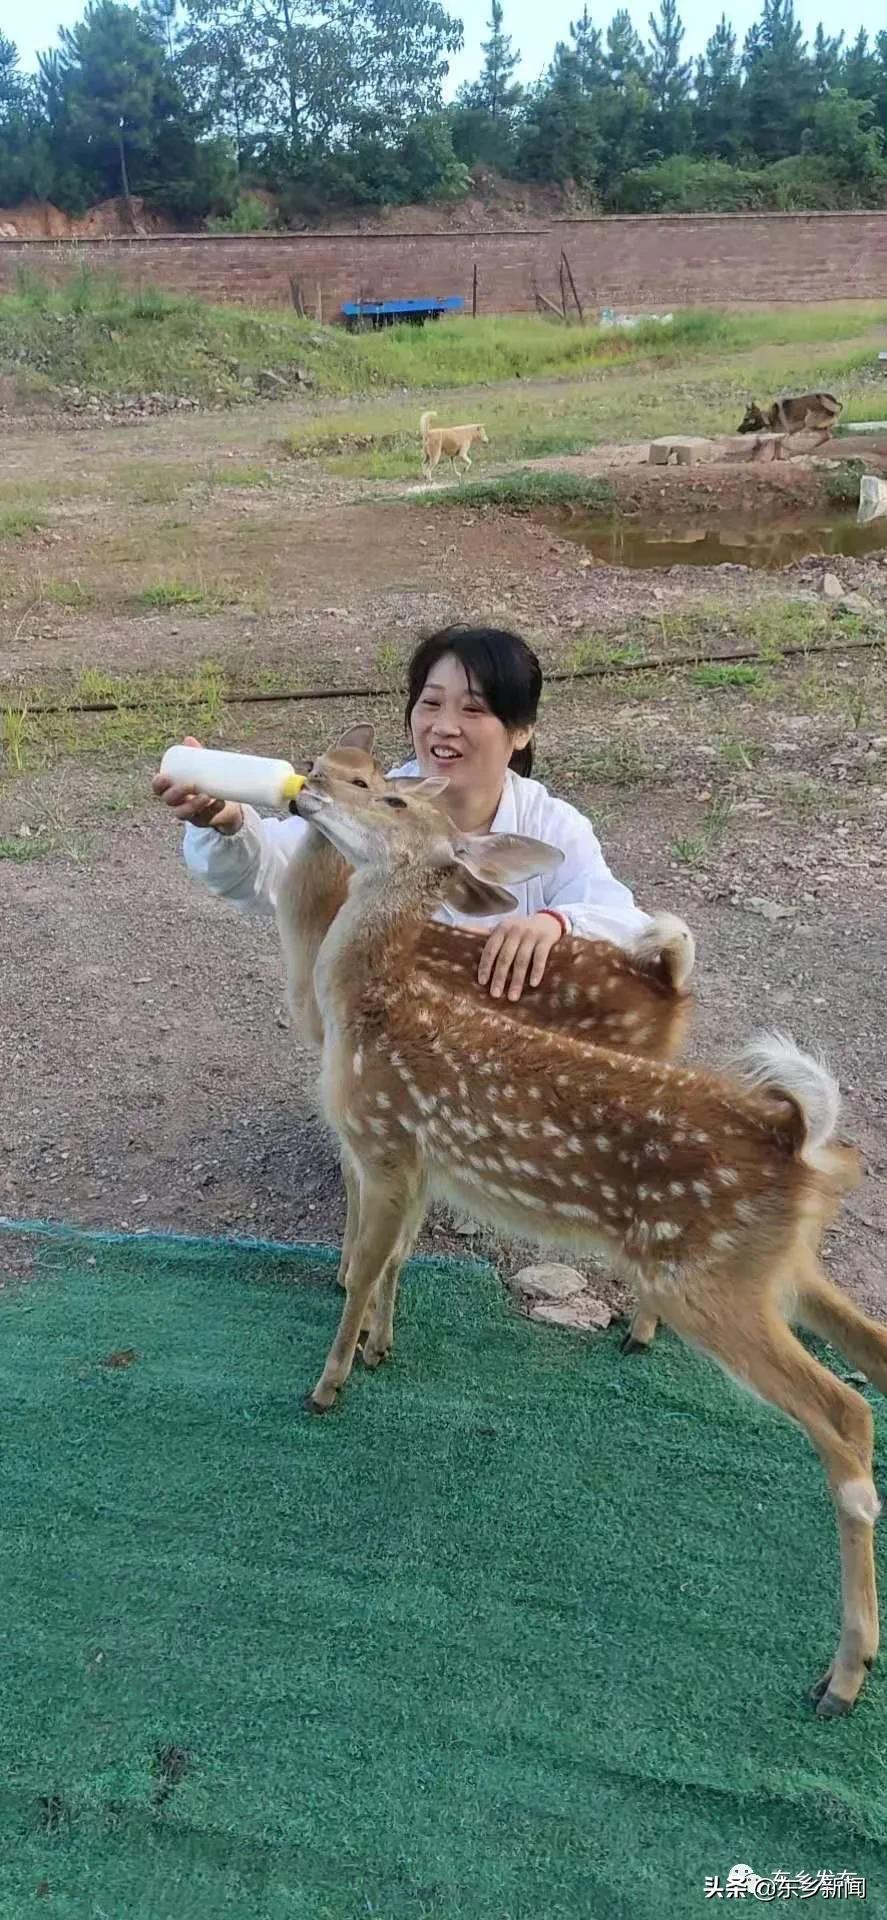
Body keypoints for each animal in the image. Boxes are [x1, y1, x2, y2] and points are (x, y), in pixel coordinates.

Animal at [295, 771, 887, 1718]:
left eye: (388, 796)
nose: (309, 777)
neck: (375, 1008)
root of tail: (796, 1139)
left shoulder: (385, 1143)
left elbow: (360, 1272)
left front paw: (327, 1385)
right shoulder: (422, 1167)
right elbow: (390, 1264)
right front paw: (382, 1352)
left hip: (705, 1279)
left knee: (844, 1413)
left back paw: (842, 1674)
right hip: (776, 1267)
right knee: (876, 1359)